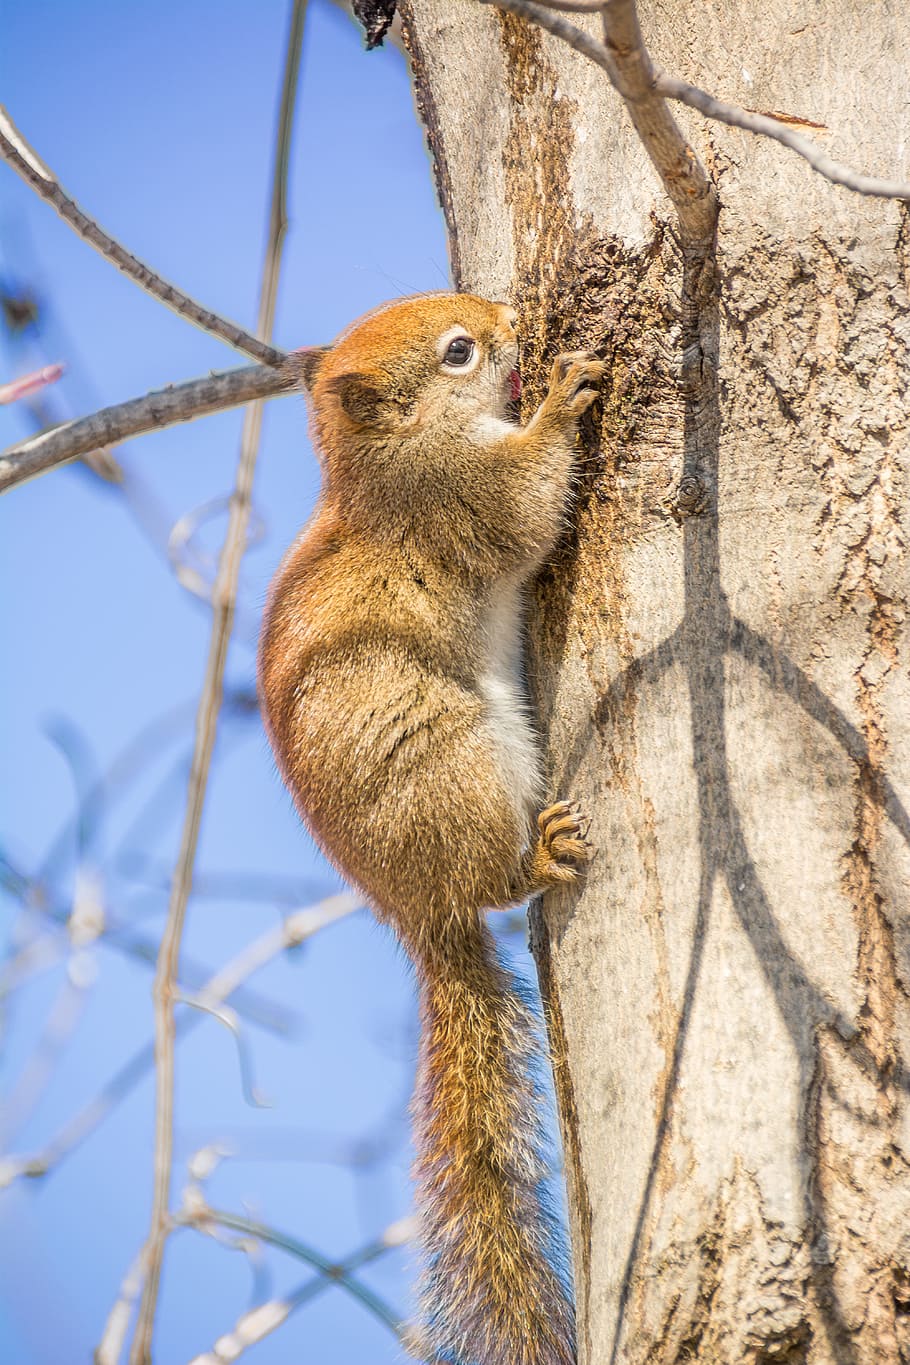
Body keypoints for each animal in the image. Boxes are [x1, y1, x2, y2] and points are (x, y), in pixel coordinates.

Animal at [256, 296, 600, 1365]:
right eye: (457, 352)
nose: (508, 315)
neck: (382, 467)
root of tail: (417, 909)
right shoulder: (456, 501)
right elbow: (525, 504)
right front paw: (563, 401)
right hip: (462, 770)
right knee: (496, 876)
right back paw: (540, 854)